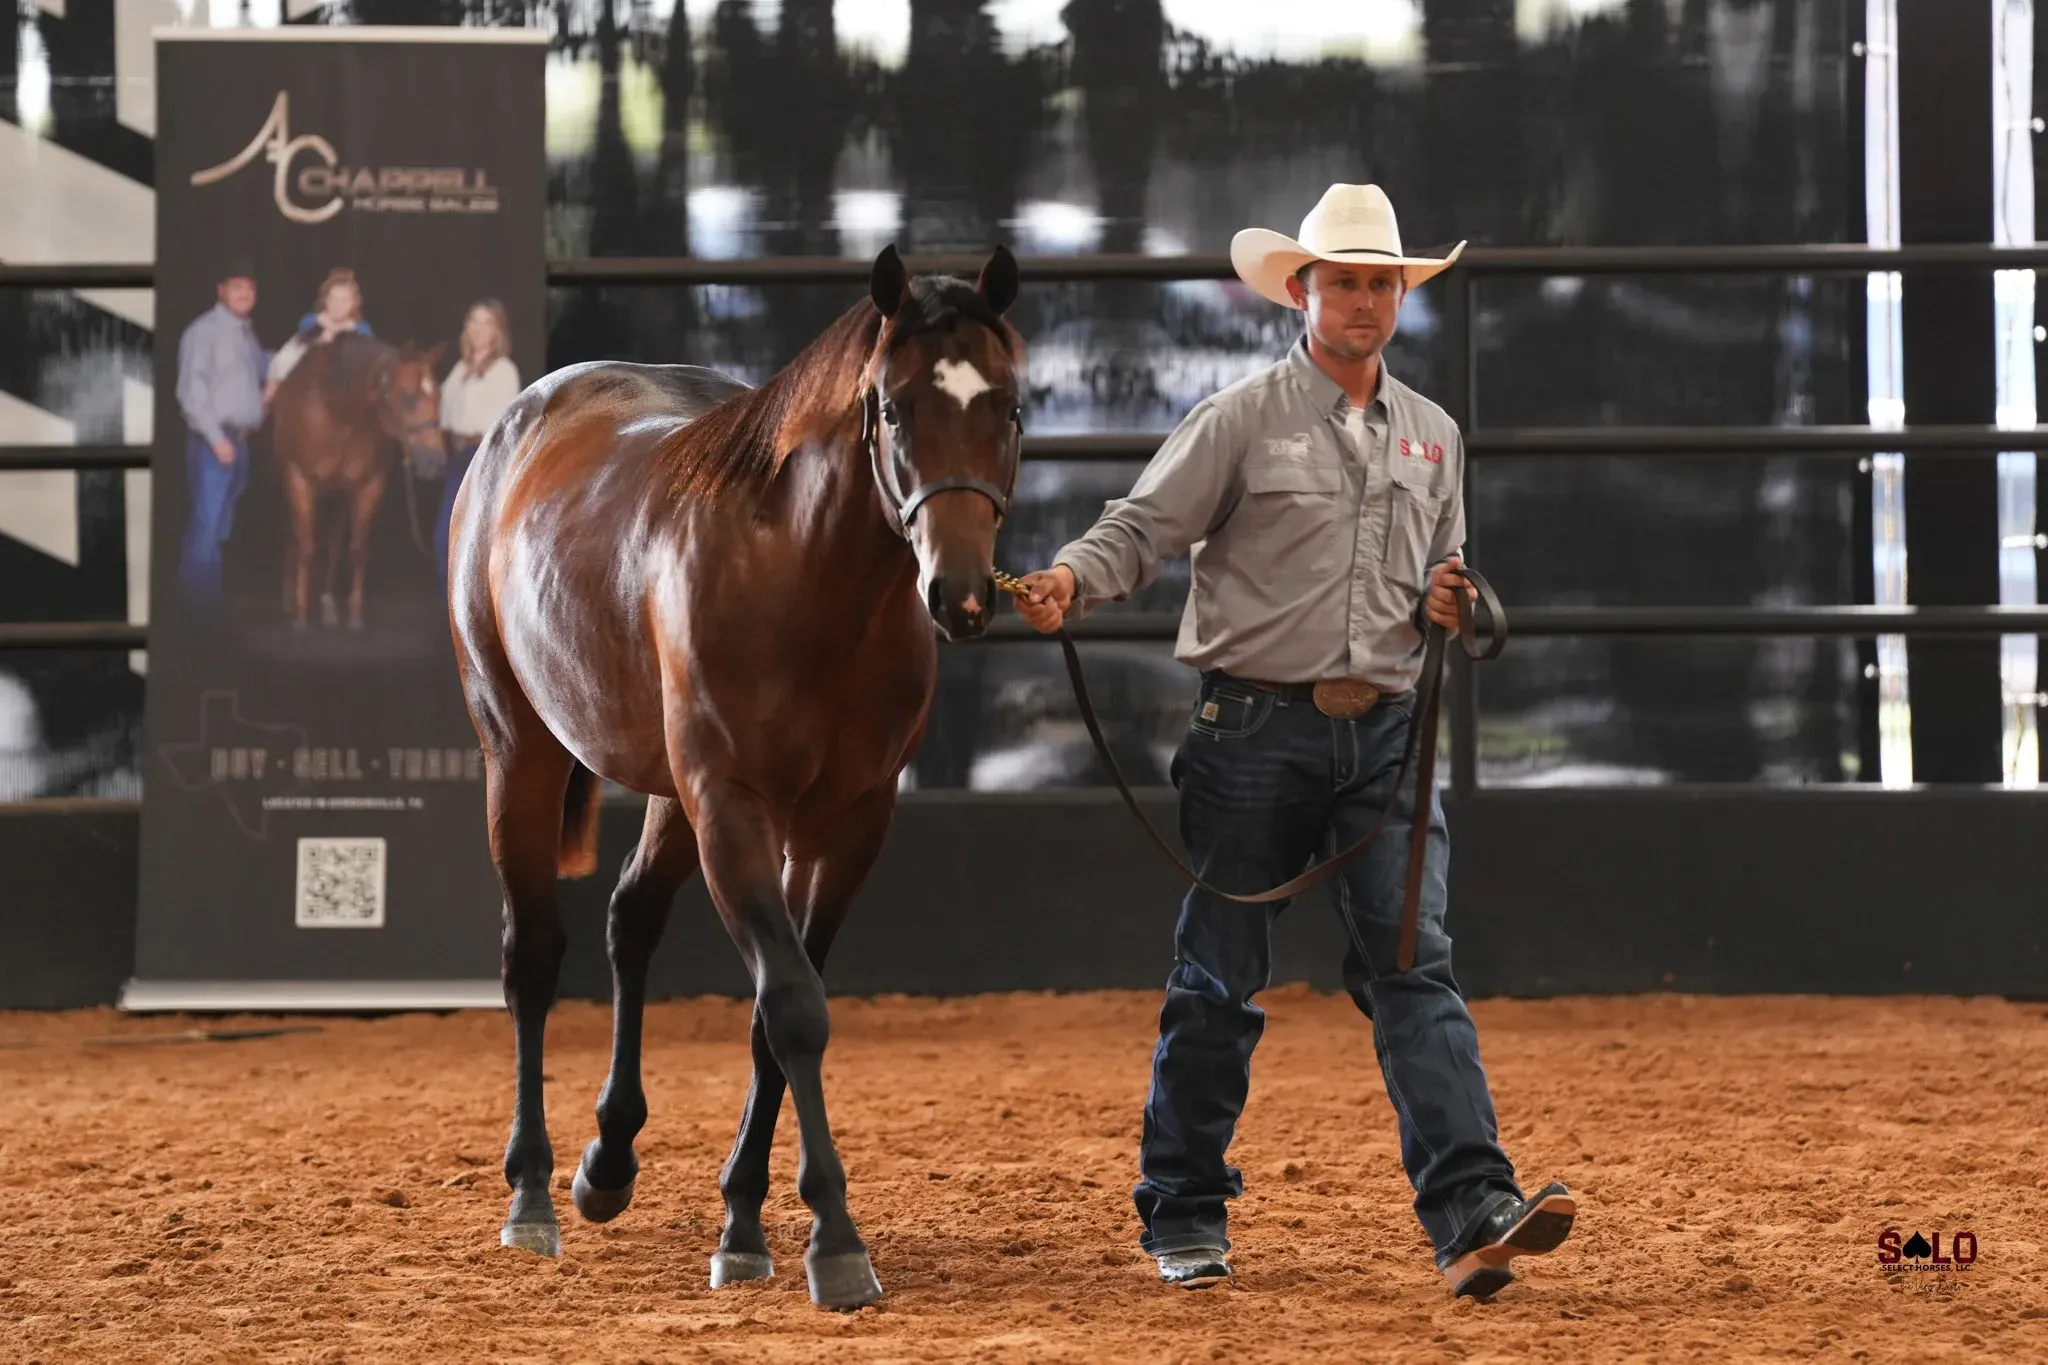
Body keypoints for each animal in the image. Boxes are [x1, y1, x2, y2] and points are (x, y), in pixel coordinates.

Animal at [270, 332, 447, 630]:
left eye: (438, 397)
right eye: (408, 397)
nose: (435, 463)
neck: (338, 413)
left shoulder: (367, 486)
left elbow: (355, 550)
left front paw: (353, 616)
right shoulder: (298, 481)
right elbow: (306, 546)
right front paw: (300, 617)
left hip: (336, 496)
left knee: (331, 543)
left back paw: (327, 602)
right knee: (292, 537)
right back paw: (288, 599)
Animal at [446, 245, 1024, 1309]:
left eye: (1007, 404)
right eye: (891, 407)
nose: (960, 595)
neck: (805, 582)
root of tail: (525, 418)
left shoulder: (848, 826)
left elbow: (772, 1013)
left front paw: (747, 1223)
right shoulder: (734, 810)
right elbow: (790, 1004)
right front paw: (836, 1241)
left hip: (669, 798)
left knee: (629, 919)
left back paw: (608, 1163)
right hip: (520, 754)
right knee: (533, 956)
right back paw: (533, 1194)